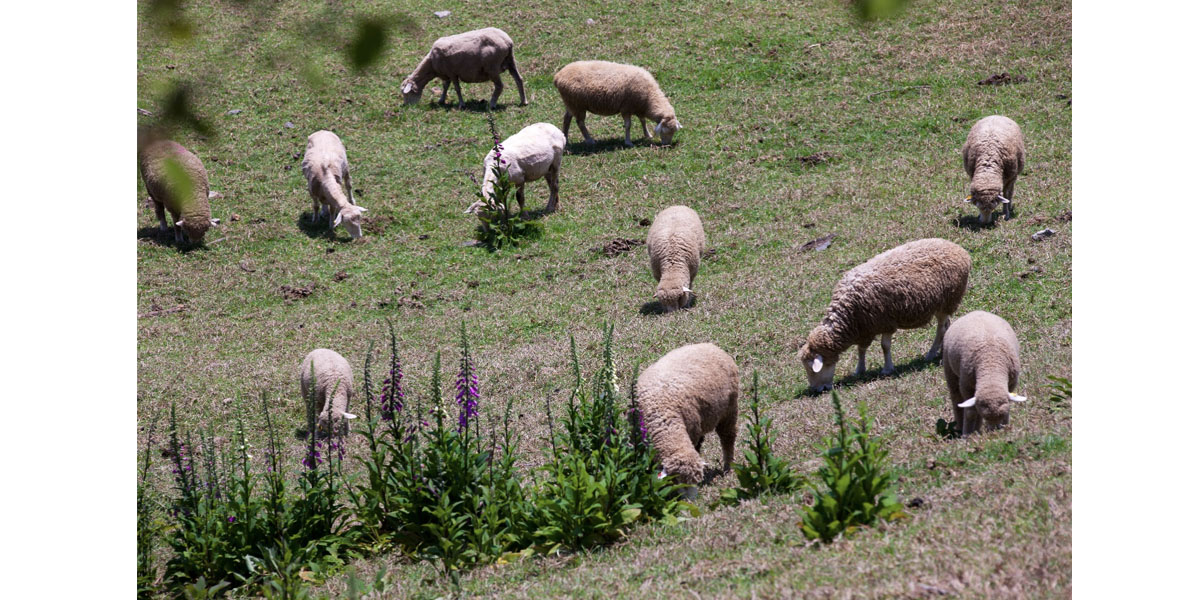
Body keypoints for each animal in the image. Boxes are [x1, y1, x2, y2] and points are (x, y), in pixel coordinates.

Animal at [554, 60, 686, 147]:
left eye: (674, 132)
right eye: (665, 131)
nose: (666, 145)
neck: (649, 97)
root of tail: (558, 76)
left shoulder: (638, 108)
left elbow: (643, 121)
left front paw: (647, 134)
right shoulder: (627, 108)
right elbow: (628, 125)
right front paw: (628, 142)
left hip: (571, 103)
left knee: (567, 118)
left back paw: (565, 138)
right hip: (577, 104)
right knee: (580, 122)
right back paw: (590, 140)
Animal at [796, 238, 974, 393]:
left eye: (813, 369)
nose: (817, 390)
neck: (848, 314)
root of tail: (958, 249)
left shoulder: (886, 322)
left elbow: (884, 346)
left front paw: (887, 369)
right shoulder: (864, 329)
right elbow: (861, 349)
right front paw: (859, 369)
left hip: (948, 299)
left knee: (940, 328)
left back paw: (931, 354)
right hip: (940, 305)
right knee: (946, 324)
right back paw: (942, 350)